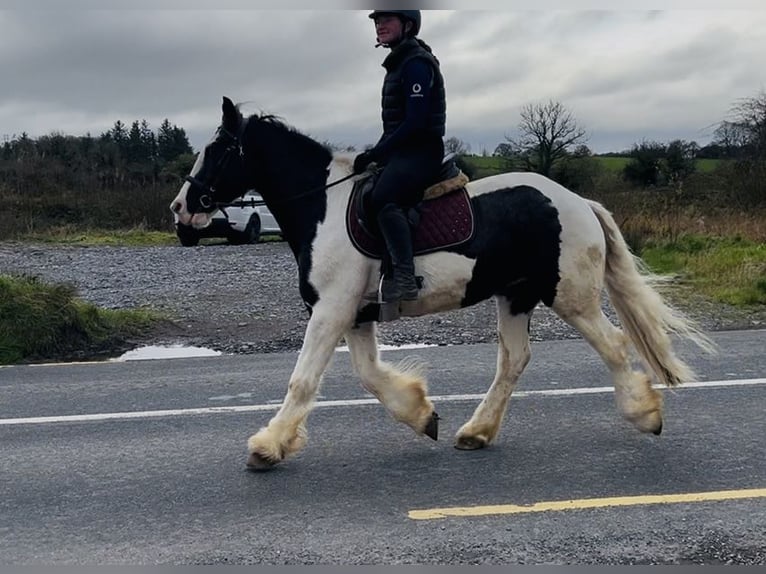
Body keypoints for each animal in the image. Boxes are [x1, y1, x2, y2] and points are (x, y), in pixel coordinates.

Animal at [170, 97, 714, 470]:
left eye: (218, 150)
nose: (181, 208)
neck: (322, 206)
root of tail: (579, 202)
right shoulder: (353, 313)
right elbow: (369, 375)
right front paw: (420, 414)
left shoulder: (331, 310)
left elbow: (303, 379)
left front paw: (267, 447)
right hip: (516, 295)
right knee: (514, 360)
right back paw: (476, 431)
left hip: (570, 296)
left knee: (614, 346)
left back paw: (645, 414)